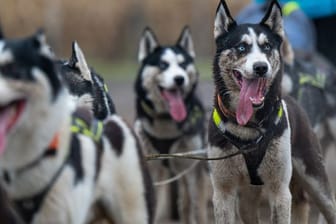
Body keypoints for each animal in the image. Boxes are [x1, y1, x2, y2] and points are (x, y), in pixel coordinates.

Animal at [133, 27, 207, 223]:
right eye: (163, 65)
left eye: (183, 64)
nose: (180, 79)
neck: (167, 122)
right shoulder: (152, 169)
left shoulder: (193, 168)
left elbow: (198, 209)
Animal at [209, 0, 334, 223]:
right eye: (241, 47)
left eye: (267, 46)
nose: (261, 67)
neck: (247, 129)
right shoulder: (223, 191)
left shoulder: (280, 190)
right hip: (247, 202)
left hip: (317, 182)